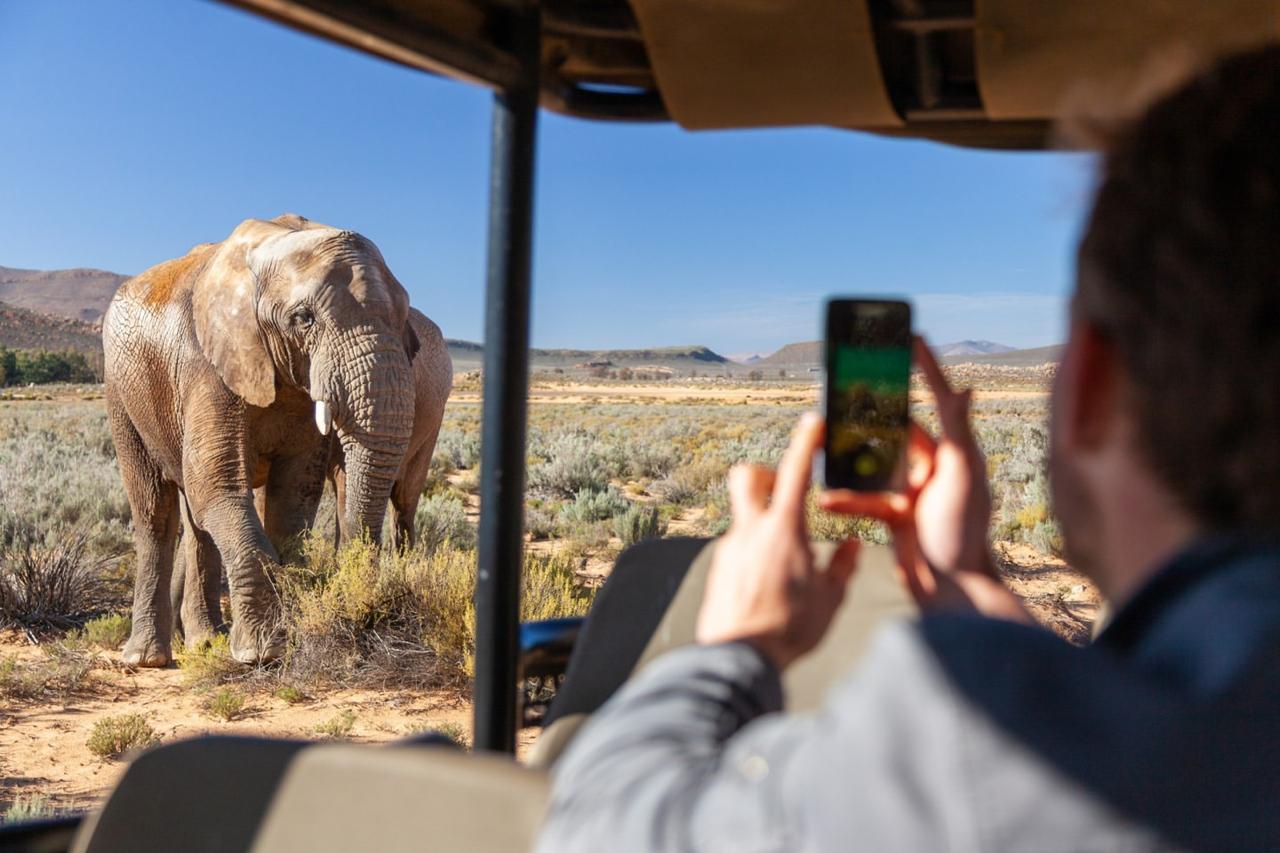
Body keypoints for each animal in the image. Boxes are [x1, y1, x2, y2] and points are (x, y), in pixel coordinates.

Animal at [104, 214, 420, 666]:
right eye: (304, 318)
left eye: (404, 316)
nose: (361, 606)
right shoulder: (206, 364)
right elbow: (216, 486)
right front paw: (263, 652)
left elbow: (293, 495)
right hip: (122, 389)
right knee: (155, 512)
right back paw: (147, 659)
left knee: (196, 522)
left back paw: (206, 642)